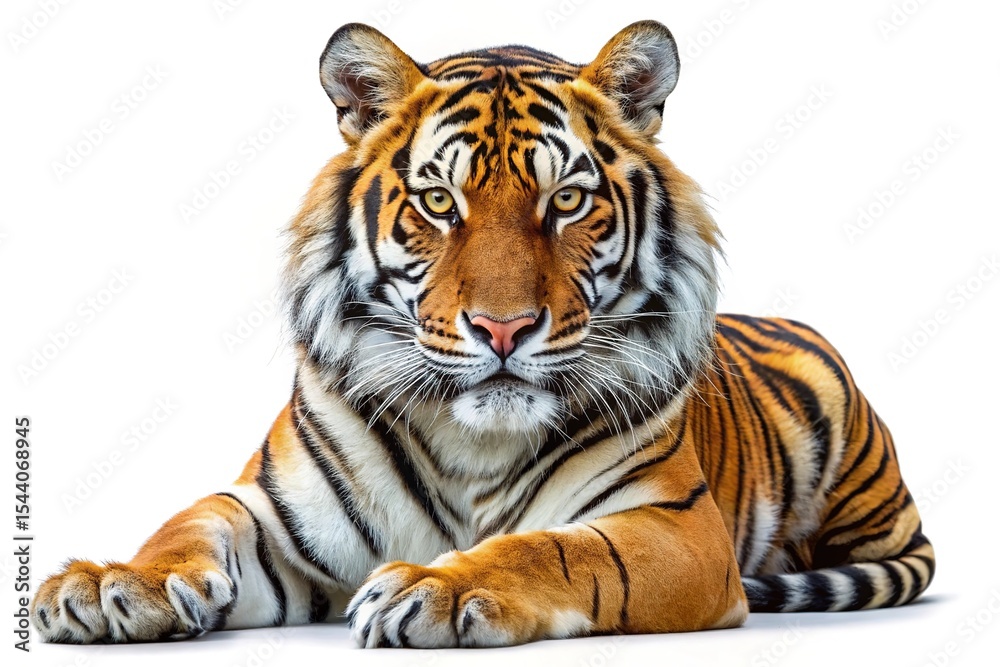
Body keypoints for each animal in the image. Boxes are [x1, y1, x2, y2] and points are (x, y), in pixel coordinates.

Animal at [31, 20, 934, 647]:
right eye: (440, 201)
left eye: (566, 201)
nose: (504, 328)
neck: (473, 440)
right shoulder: (276, 509)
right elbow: (188, 523)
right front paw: (110, 584)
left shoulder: (674, 525)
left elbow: (556, 548)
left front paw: (438, 589)